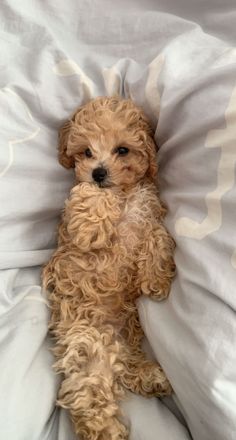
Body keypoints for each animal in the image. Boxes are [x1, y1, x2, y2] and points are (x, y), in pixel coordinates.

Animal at [42, 97, 175, 440]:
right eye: (86, 152)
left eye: (123, 150)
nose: (98, 173)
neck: (124, 193)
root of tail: (111, 334)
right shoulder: (81, 203)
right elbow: (88, 197)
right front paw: (92, 226)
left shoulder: (149, 213)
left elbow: (157, 235)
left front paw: (156, 278)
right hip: (87, 343)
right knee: (88, 390)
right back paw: (106, 429)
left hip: (122, 343)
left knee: (126, 368)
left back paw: (150, 377)